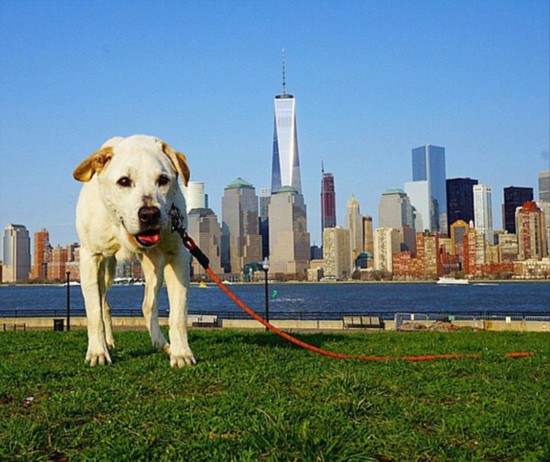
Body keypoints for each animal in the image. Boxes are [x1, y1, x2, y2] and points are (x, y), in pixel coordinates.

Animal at [74, 134, 196, 368]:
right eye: (124, 181)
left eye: (163, 180)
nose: (149, 214)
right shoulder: (90, 257)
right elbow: (94, 313)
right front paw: (97, 352)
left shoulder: (178, 256)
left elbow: (178, 314)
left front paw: (181, 353)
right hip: (103, 269)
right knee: (104, 305)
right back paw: (108, 342)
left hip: (154, 265)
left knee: (148, 305)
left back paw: (161, 343)